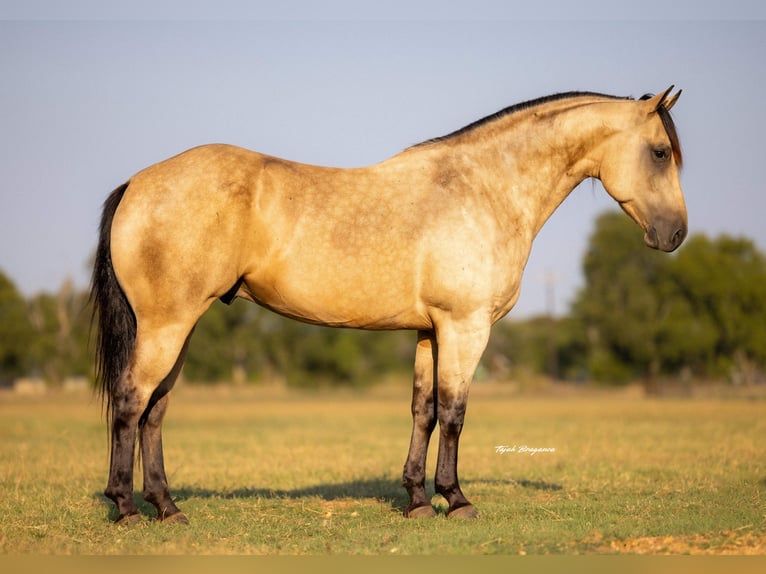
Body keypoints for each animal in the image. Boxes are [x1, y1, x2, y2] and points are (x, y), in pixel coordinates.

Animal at [91, 87, 686, 524]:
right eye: (660, 152)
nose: (676, 234)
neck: (483, 189)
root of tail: (138, 182)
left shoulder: (430, 331)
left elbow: (424, 411)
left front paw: (418, 500)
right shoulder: (466, 328)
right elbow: (454, 413)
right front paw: (457, 500)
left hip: (181, 327)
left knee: (155, 410)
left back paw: (168, 508)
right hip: (167, 326)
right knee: (131, 400)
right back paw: (126, 508)